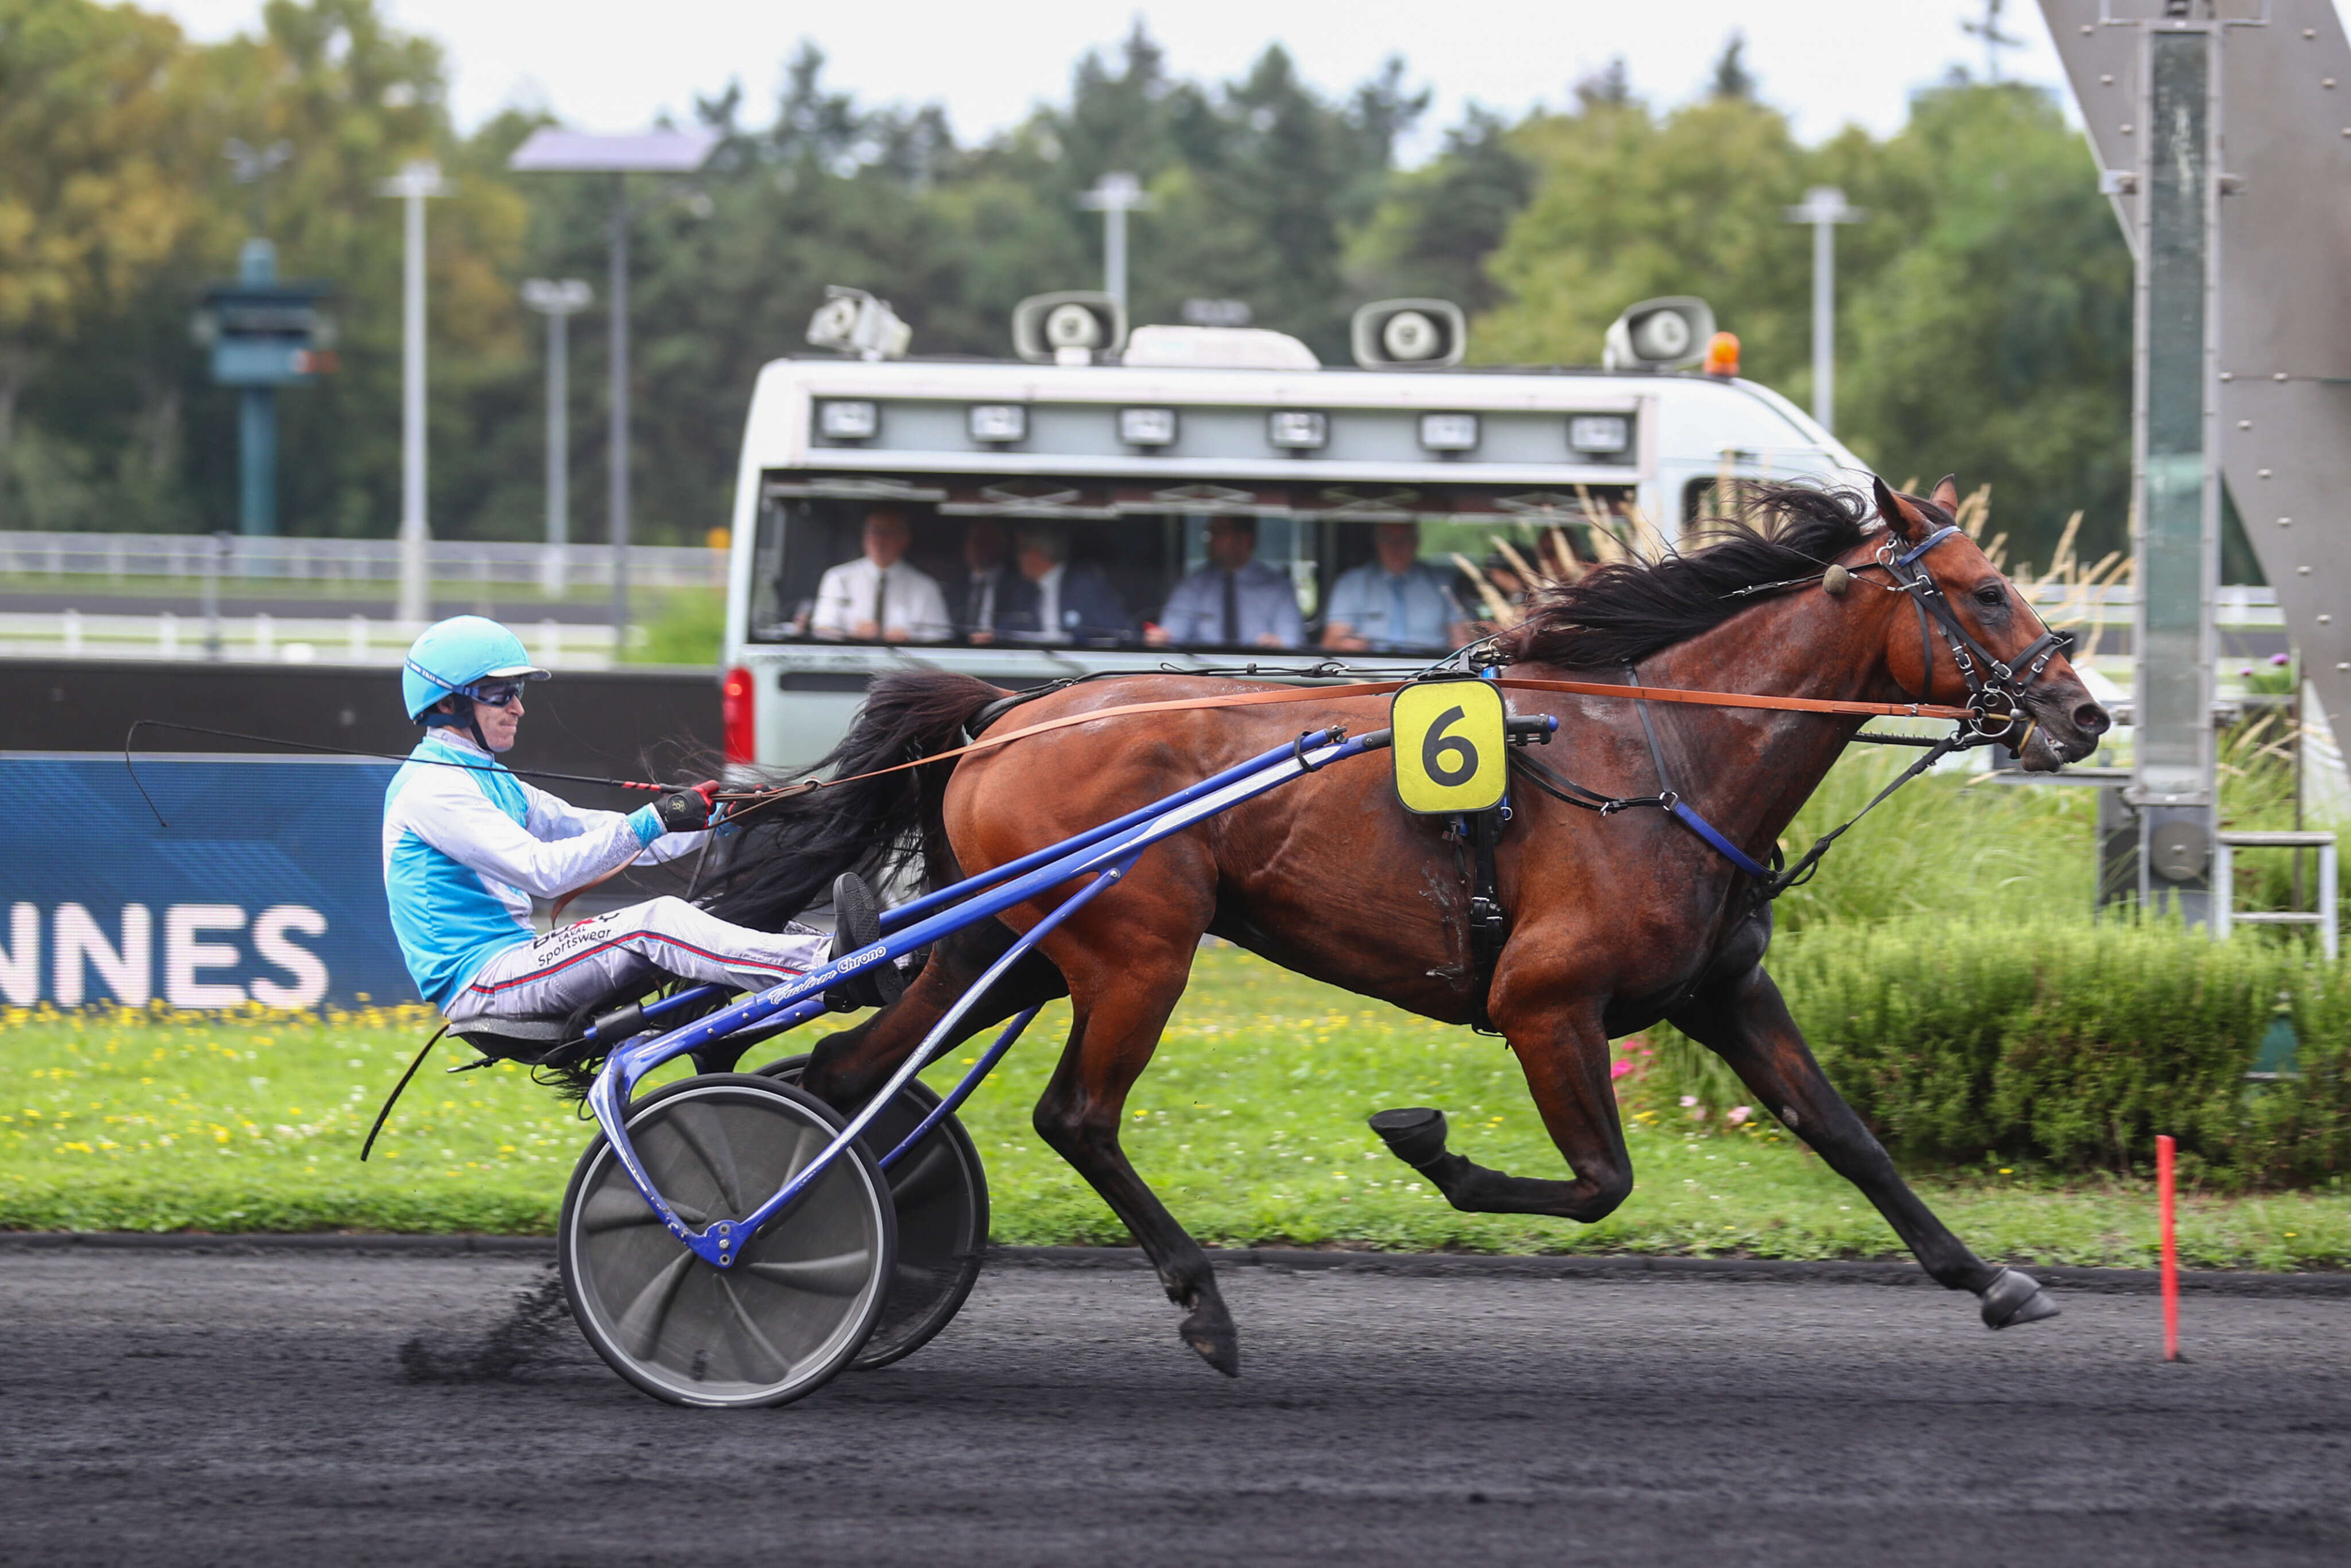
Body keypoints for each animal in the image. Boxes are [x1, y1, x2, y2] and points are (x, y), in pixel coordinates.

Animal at [709, 479, 2116, 1373]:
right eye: (1985, 590)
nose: (2085, 714)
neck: (1664, 754)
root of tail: (1006, 714)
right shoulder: (1545, 1005)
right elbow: (1600, 1182)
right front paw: (1424, 1140)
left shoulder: (1723, 995)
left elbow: (1848, 1138)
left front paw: (1991, 1278)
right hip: (1133, 950)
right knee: (1075, 1117)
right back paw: (1197, 1301)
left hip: (1010, 953)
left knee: (846, 1072)